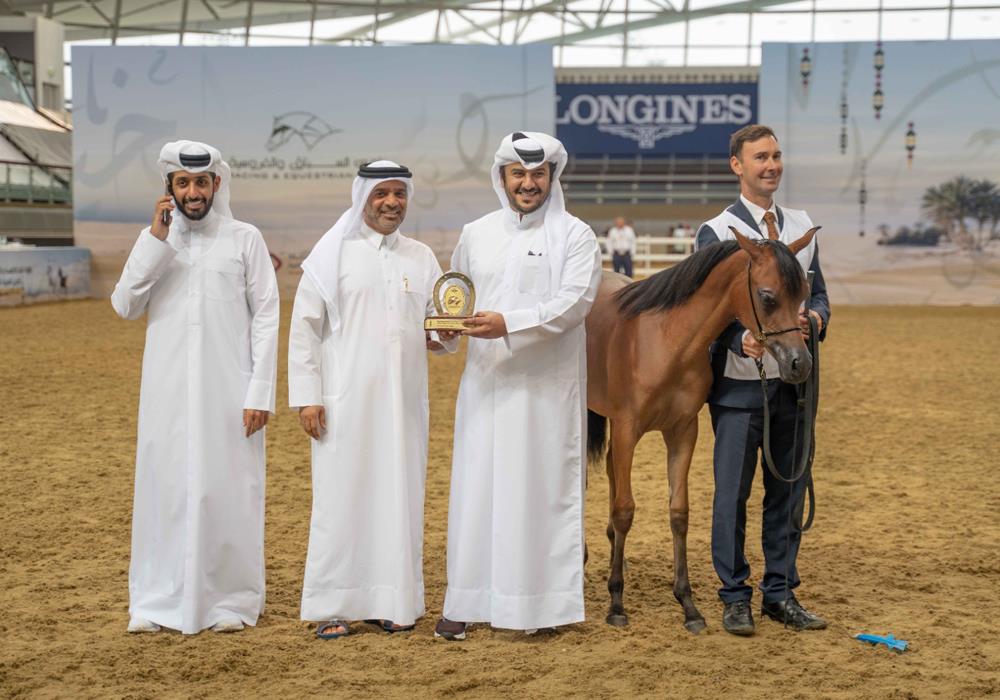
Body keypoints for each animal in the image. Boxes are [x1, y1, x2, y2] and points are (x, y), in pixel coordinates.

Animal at [584, 227, 812, 632]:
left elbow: (679, 513)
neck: (664, 341)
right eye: (767, 296)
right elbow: (626, 509)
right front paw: (617, 604)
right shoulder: (628, 430)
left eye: (803, 294)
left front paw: (688, 605)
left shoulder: (682, 432)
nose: (800, 364)